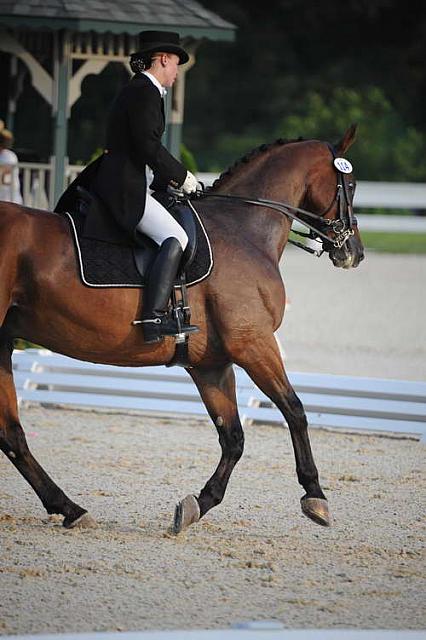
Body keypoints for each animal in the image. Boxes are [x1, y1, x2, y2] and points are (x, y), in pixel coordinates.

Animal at [0, 126, 362, 536]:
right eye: (350, 184)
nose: (354, 251)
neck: (244, 232)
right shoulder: (254, 344)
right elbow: (295, 410)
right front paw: (315, 496)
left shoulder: (211, 364)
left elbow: (232, 437)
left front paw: (196, 506)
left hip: (3, 342)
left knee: (12, 434)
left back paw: (69, 508)